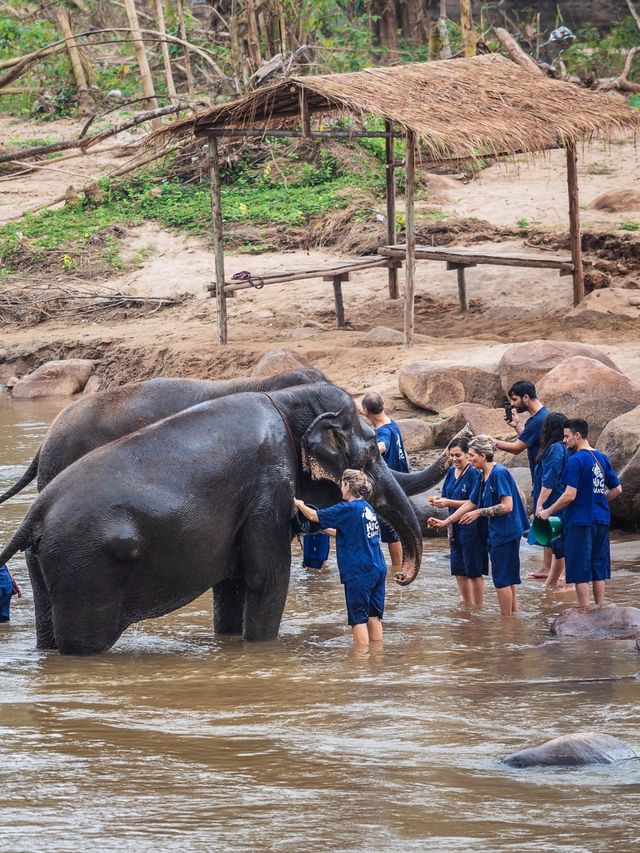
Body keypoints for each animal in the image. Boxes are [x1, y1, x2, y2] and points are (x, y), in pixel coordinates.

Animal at [0, 382, 424, 656]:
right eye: (371, 454)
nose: (401, 577)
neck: (285, 400)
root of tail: (36, 514)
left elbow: (232, 585)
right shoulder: (267, 485)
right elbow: (266, 577)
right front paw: (261, 650)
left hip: (47, 563)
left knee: (47, 626)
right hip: (85, 571)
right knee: (84, 642)